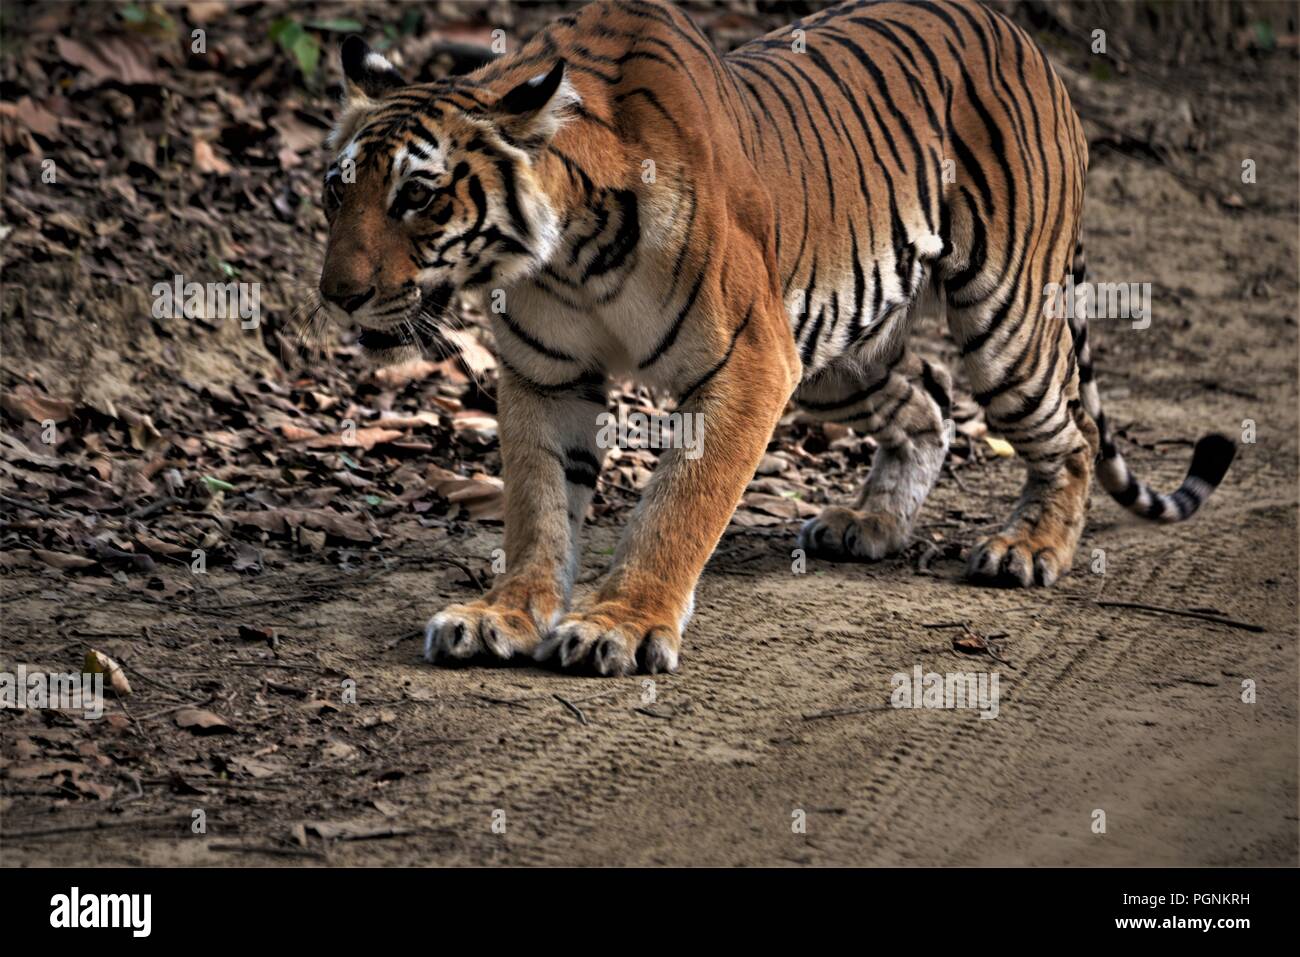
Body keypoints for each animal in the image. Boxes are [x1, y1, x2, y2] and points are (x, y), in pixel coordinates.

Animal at [314, 0, 1227, 676]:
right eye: (335, 191)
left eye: (418, 196)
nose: (336, 295)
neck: (563, 255)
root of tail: (1023, 37)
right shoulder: (547, 374)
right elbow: (539, 507)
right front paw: (504, 613)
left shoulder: (748, 361)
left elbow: (681, 502)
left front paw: (621, 624)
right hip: (833, 353)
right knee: (929, 399)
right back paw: (872, 523)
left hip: (1001, 318)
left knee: (1071, 434)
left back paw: (1029, 546)